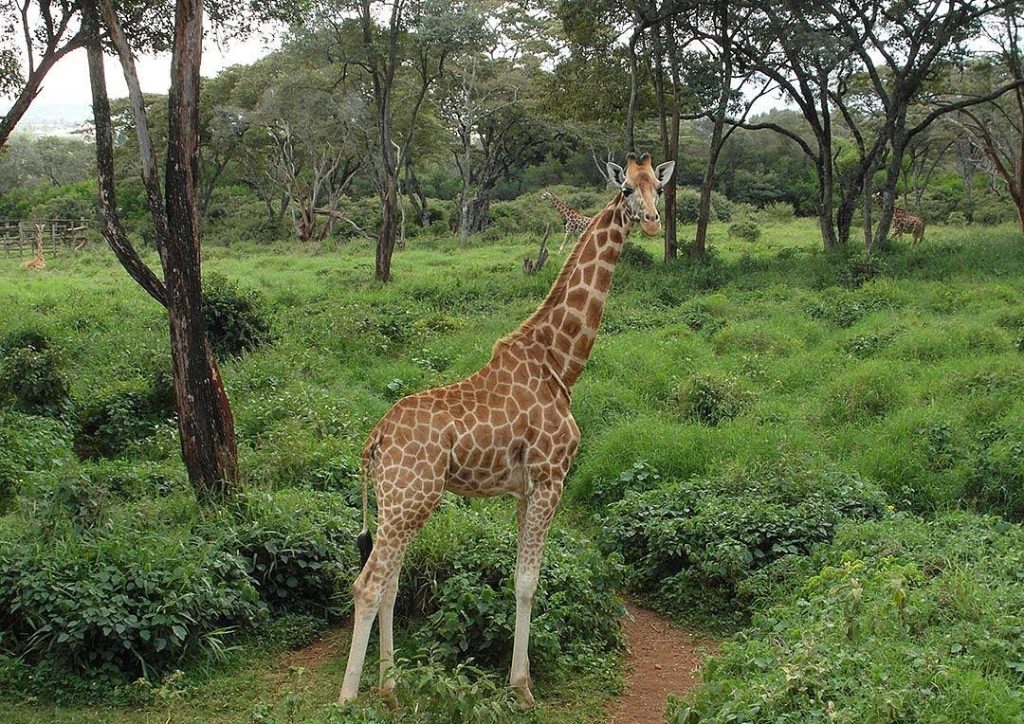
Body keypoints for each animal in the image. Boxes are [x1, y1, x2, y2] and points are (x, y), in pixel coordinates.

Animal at [338, 152, 675, 708]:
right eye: (626, 189)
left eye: (658, 189)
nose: (650, 222)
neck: (560, 363)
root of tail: (374, 442)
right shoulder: (551, 477)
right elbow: (527, 582)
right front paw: (522, 685)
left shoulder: (523, 488)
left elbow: (520, 577)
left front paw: (516, 679)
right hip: (410, 499)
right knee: (367, 585)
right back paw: (348, 699)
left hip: (400, 503)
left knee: (388, 583)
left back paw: (391, 687)